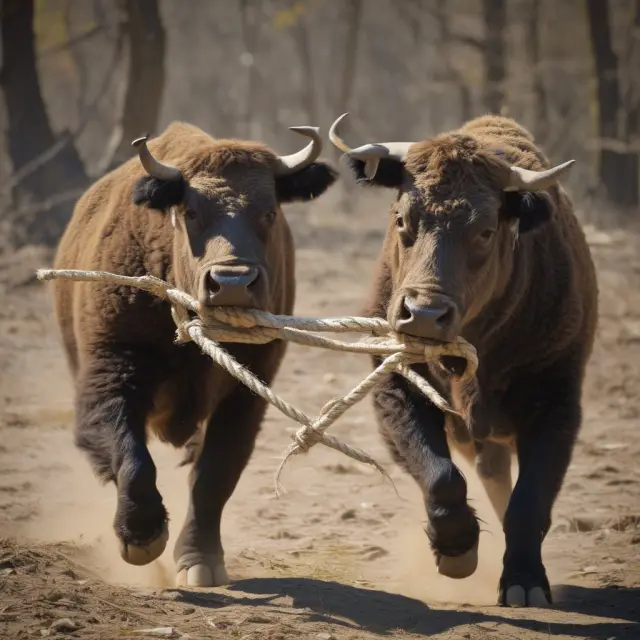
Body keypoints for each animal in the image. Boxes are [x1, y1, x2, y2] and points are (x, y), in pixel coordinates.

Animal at [50, 121, 338, 587]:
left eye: (269, 212)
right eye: (190, 212)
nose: (232, 282)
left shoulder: (247, 392)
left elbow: (213, 475)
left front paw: (199, 561)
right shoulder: (110, 370)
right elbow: (130, 455)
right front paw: (141, 536)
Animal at [328, 113, 598, 607]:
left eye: (486, 231)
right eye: (402, 218)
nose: (423, 314)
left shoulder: (556, 401)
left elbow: (528, 500)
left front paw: (525, 580)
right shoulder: (397, 389)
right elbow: (441, 476)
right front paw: (457, 550)